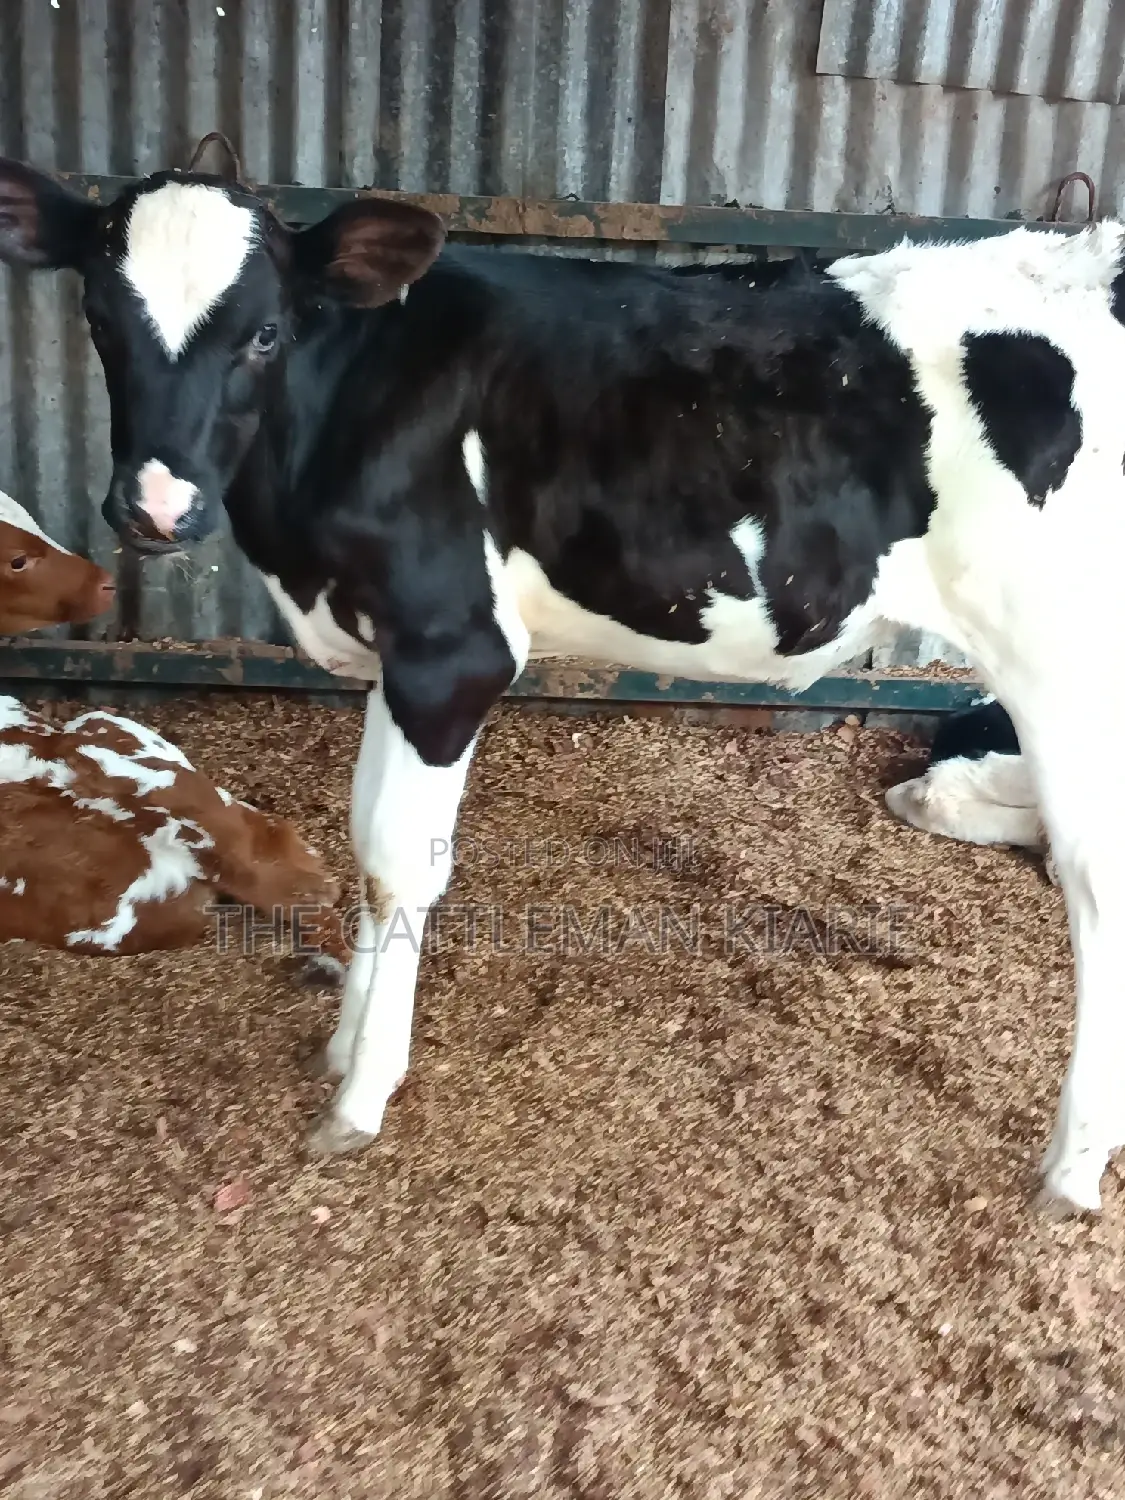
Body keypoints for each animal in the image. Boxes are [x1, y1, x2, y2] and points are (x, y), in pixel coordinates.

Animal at [0, 155, 1119, 1213]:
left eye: (265, 332)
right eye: (100, 318)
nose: (156, 507)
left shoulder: (453, 649)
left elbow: (402, 865)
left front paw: (362, 1093)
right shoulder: (391, 655)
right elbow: (365, 845)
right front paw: (347, 1042)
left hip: (1062, 662)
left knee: (1095, 881)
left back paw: (1071, 1166)